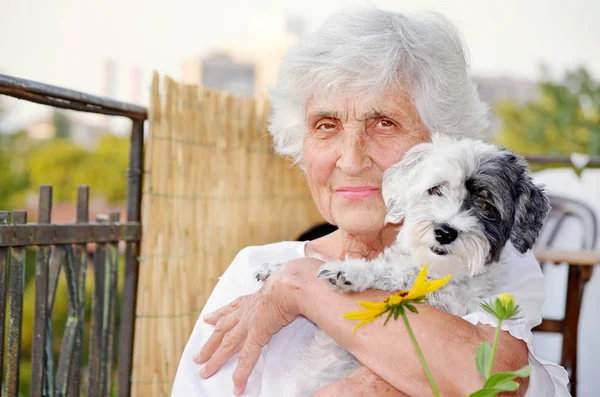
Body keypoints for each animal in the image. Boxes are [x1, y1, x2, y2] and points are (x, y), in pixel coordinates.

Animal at [253, 135, 548, 394]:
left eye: (486, 205)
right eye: (436, 190)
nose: (445, 232)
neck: (435, 268)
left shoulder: (446, 300)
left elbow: (395, 274)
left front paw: (349, 270)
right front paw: (278, 266)